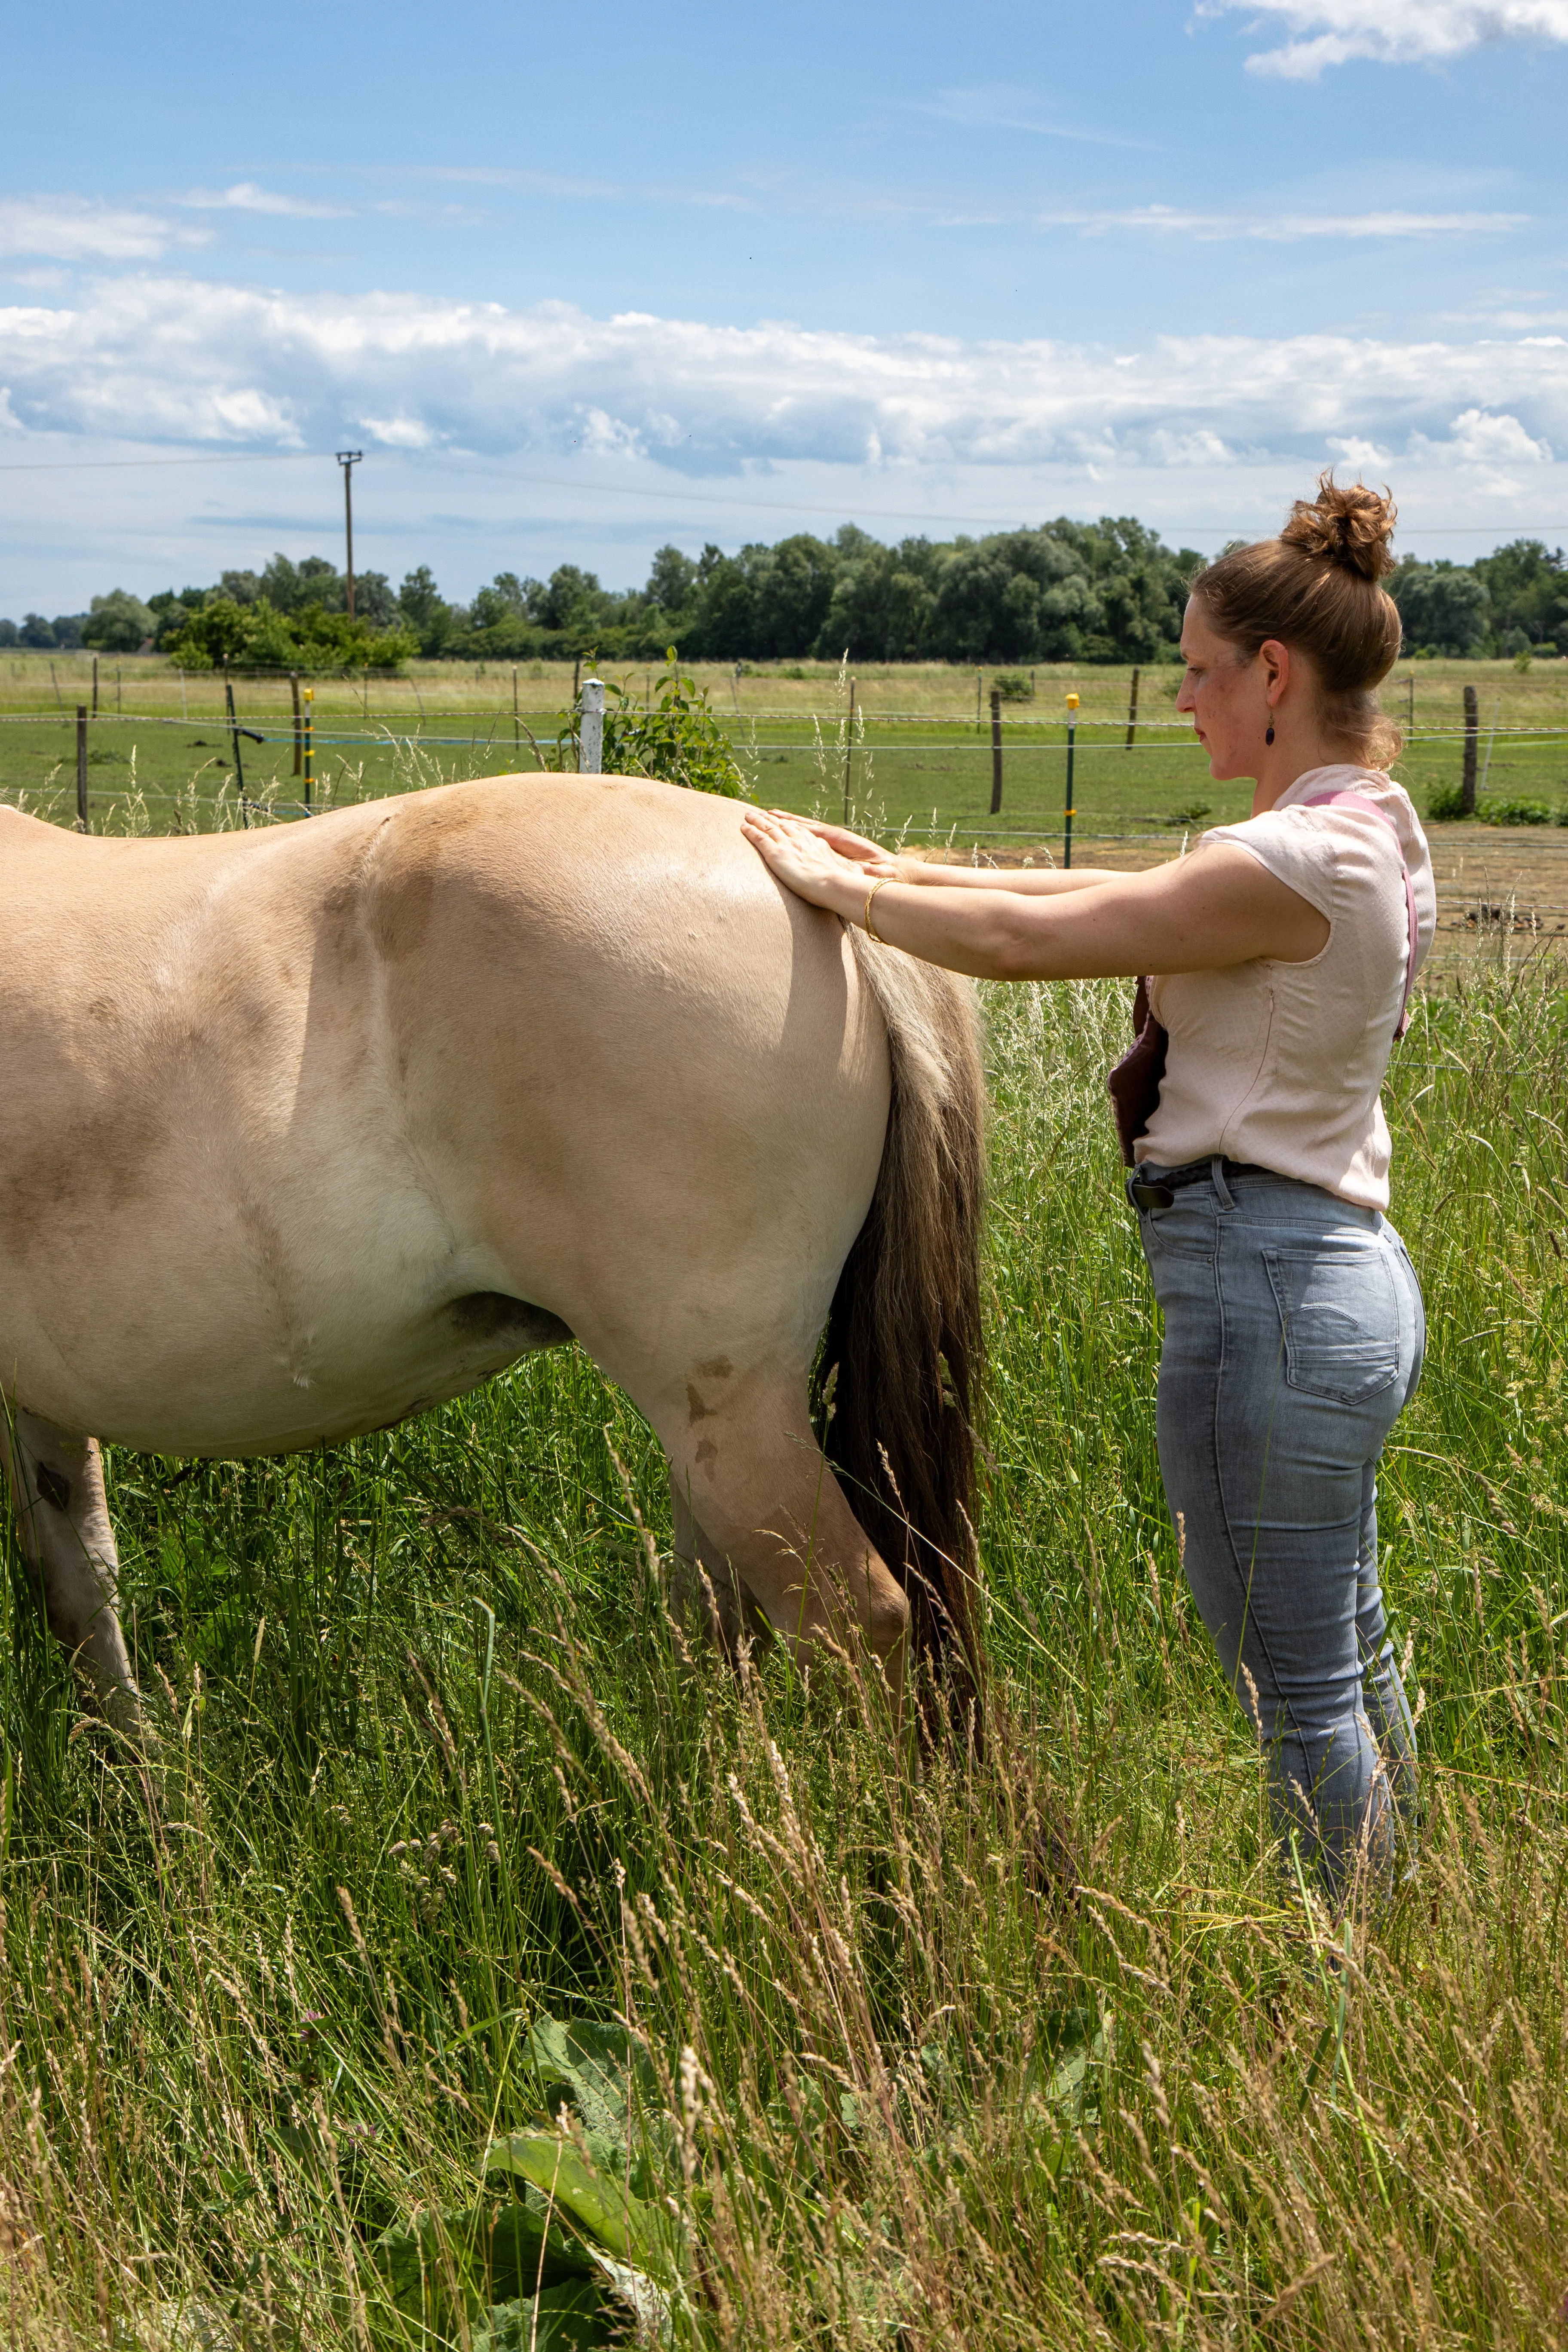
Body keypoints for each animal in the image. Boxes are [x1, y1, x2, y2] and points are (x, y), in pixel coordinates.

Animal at [0, 772, 986, 1735]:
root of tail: (819, 880)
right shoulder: (42, 1400)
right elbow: (80, 1584)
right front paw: (135, 1773)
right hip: (707, 1426)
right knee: (718, 1619)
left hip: (730, 1405)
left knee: (853, 1619)